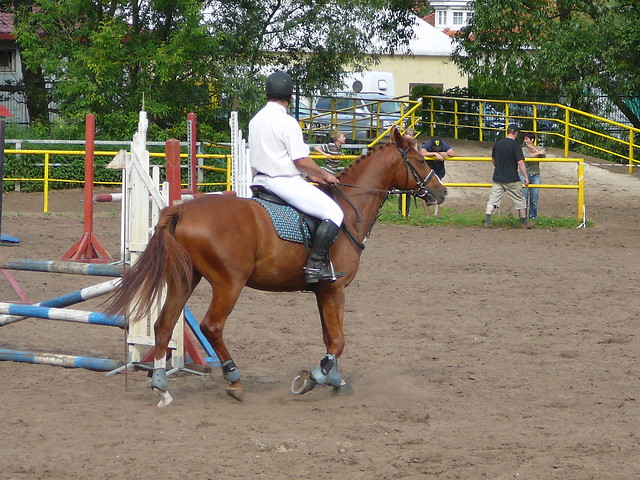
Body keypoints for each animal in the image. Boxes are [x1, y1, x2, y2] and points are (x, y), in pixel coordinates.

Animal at [106, 125, 444, 406]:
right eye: (421, 161)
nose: (441, 192)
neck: (349, 210)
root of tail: (183, 210)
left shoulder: (323, 291)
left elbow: (329, 337)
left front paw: (335, 378)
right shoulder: (335, 288)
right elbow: (338, 341)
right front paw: (315, 378)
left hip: (186, 279)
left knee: (164, 324)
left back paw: (161, 385)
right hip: (229, 283)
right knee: (211, 326)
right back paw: (233, 378)